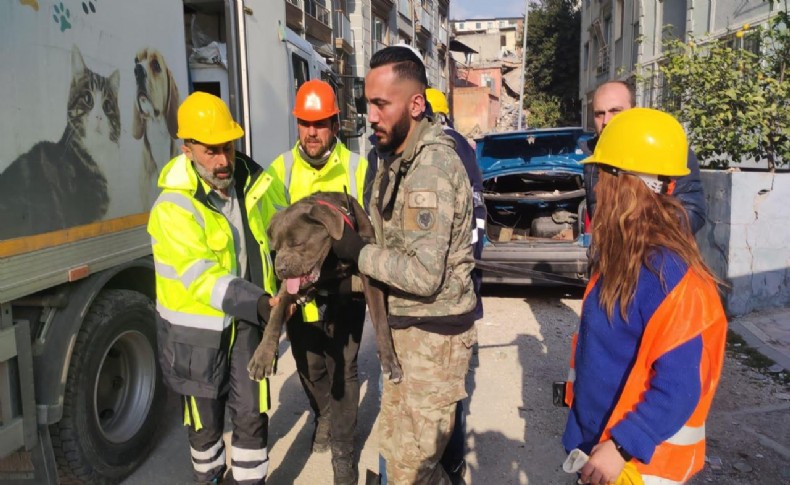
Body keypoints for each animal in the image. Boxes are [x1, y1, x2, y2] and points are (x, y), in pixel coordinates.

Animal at [246, 191, 402, 384]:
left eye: (297, 243)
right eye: (276, 247)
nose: (279, 269)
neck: (331, 260)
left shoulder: (367, 269)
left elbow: (380, 319)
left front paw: (390, 362)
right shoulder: (288, 286)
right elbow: (276, 314)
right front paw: (262, 357)